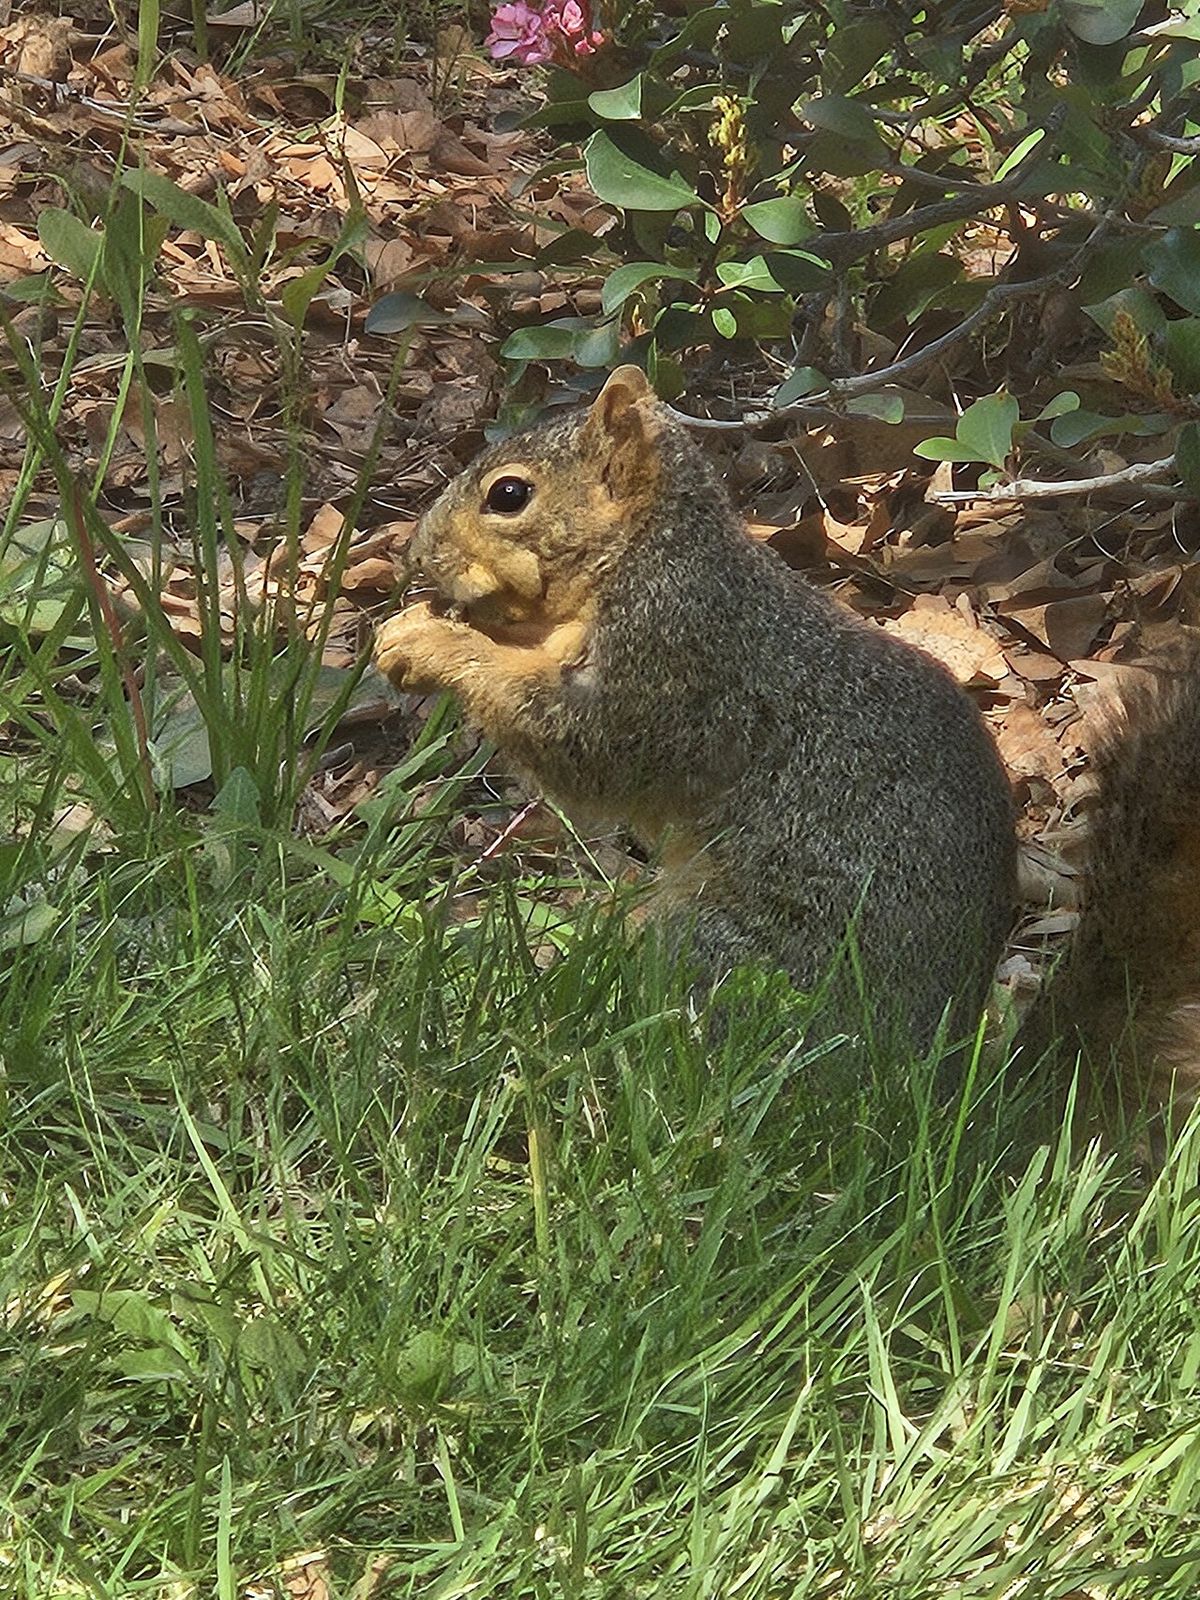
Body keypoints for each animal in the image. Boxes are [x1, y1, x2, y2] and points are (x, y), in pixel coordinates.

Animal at [375, 365, 1200, 1124]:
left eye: (509, 495)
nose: (414, 556)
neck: (647, 555)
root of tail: (919, 1095)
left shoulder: (676, 661)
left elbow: (590, 746)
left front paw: (431, 641)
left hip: (734, 951)